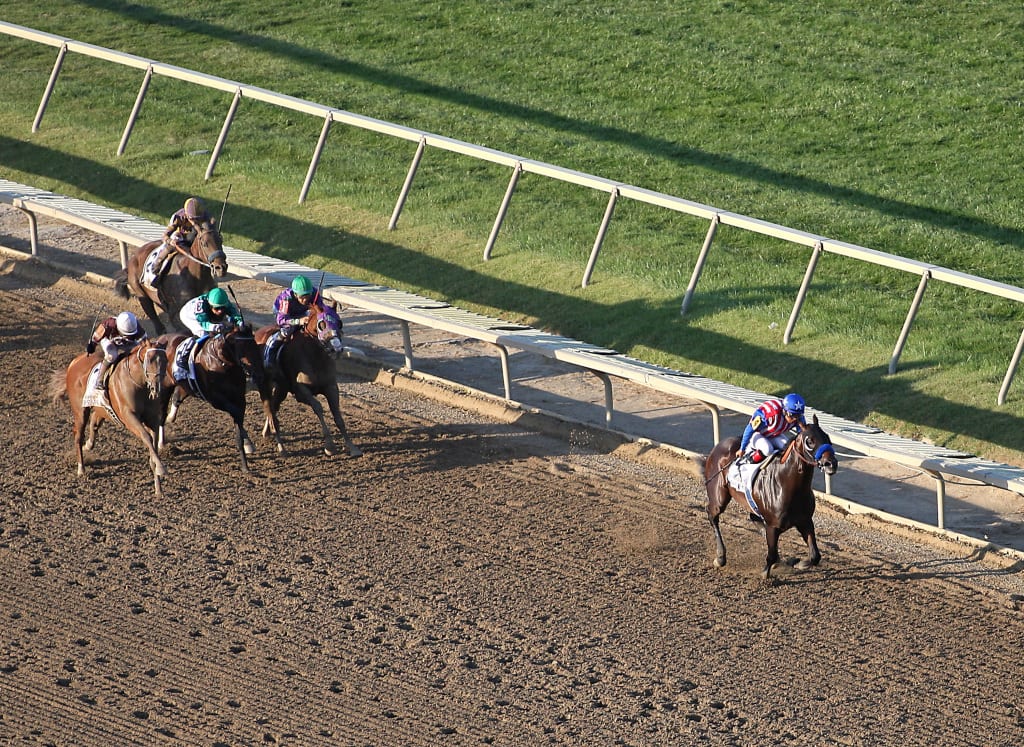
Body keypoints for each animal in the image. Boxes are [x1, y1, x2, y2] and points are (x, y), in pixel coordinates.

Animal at [50, 340, 171, 498]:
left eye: (166, 360)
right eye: (150, 359)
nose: (157, 388)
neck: (139, 385)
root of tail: (74, 362)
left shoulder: (153, 420)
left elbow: (153, 445)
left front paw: (158, 486)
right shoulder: (129, 417)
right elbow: (146, 437)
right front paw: (161, 469)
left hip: (101, 408)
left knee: (94, 422)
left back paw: (88, 445)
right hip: (80, 411)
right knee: (78, 435)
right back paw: (81, 468)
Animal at [156, 319, 264, 471]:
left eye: (254, 344)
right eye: (242, 346)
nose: (259, 375)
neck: (222, 363)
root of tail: (160, 339)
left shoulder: (239, 397)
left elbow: (239, 420)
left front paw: (248, 447)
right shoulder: (215, 400)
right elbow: (236, 414)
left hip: (186, 385)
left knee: (177, 398)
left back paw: (171, 418)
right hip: (165, 387)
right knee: (161, 414)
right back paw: (161, 443)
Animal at [254, 297, 360, 454]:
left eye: (340, 322)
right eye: (322, 324)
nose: (337, 349)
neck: (314, 356)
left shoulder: (331, 387)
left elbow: (337, 415)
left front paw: (352, 447)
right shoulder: (301, 390)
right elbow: (318, 407)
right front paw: (330, 446)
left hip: (281, 389)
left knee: (274, 405)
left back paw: (267, 431)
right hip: (265, 384)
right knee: (269, 407)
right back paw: (279, 444)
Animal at [704, 413, 839, 582]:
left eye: (827, 437)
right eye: (809, 441)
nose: (831, 464)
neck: (787, 484)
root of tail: (719, 445)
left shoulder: (805, 521)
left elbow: (815, 556)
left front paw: (799, 563)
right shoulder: (773, 526)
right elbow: (771, 554)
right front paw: (765, 573)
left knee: (753, 517)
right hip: (719, 497)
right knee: (712, 515)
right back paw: (720, 557)